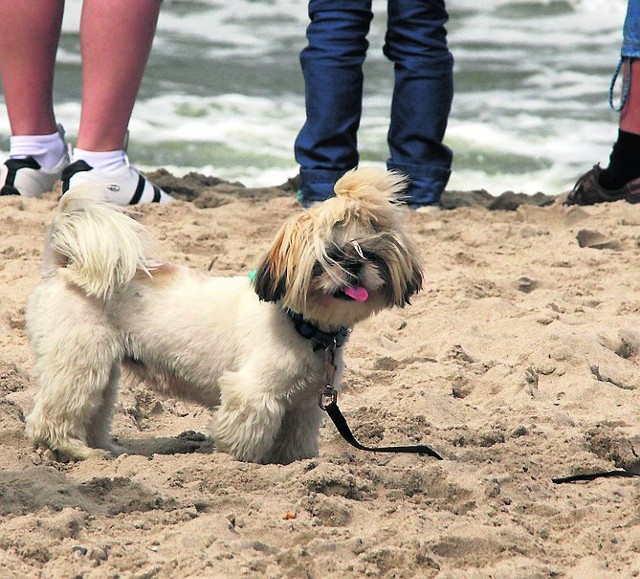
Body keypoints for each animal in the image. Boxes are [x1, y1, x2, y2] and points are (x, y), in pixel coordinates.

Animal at [26, 165, 424, 464]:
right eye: (330, 257)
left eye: (371, 254)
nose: (354, 266)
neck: (304, 327)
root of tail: (64, 266)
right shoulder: (252, 394)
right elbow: (244, 439)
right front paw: (240, 463)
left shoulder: (304, 405)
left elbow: (295, 443)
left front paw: (294, 465)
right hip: (80, 360)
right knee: (51, 416)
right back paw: (76, 450)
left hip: (102, 369)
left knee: (93, 409)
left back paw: (104, 448)